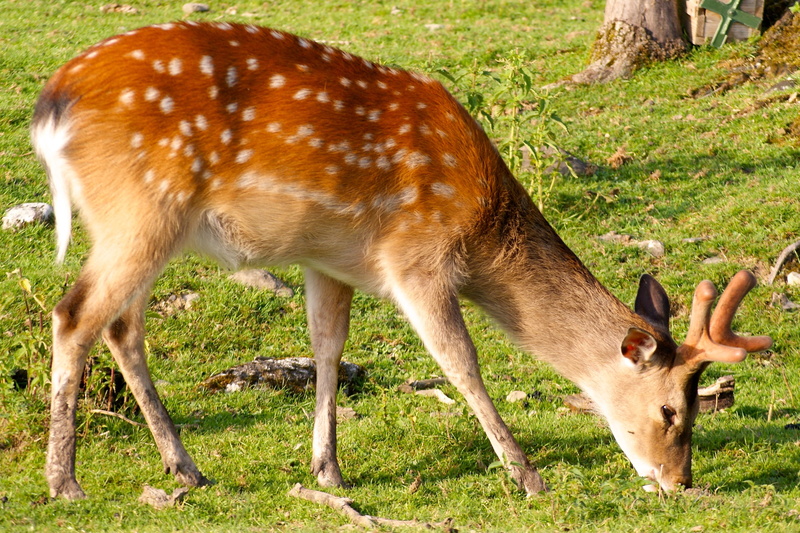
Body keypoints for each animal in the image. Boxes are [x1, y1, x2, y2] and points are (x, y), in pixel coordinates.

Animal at [31, 22, 772, 501]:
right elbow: (461, 363)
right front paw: (527, 474)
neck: (484, 230)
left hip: (137, 222)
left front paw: (328, 470)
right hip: (141, 207)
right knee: (74, 314)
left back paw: (186, 468)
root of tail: (51, 104)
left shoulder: (329, 259)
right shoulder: (416, 257)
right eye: (673, 410)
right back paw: (65, 482)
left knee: (122, 326)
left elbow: (327, 348)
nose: (680, 481)